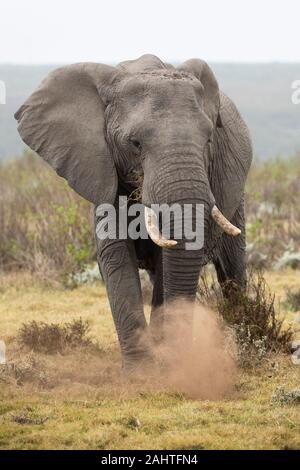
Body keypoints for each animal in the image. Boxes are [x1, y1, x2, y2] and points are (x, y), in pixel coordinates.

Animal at [15, 54, 252, 370]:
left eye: (208, 140)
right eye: (135, 143)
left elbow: (166, 263)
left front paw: (167, 364)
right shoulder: (101, 170)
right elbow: (116, 257)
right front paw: (141, 371)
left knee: (232, 268)